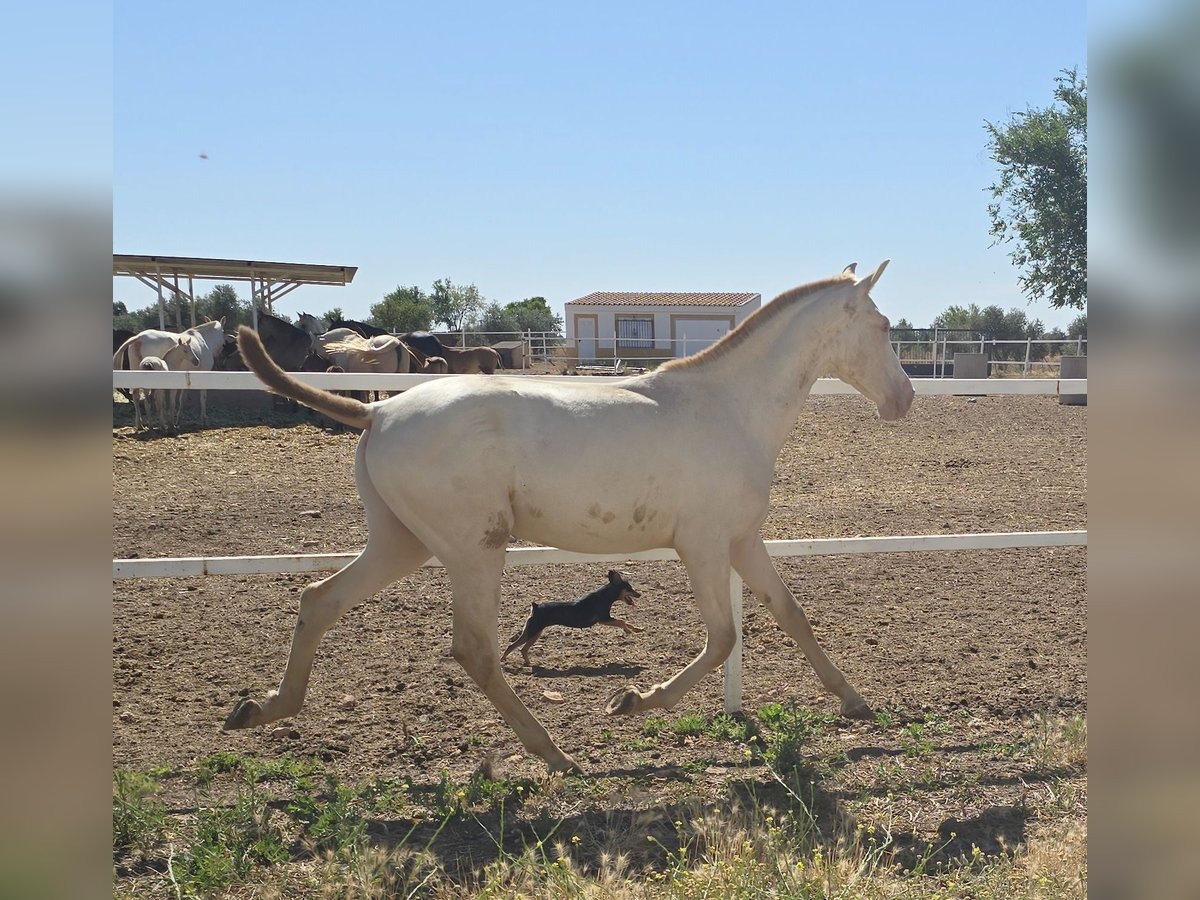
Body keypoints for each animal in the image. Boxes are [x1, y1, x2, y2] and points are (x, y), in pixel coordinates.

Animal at [501, 573, 643, 667]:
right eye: (629, 588)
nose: (640, 594)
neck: (604, 596)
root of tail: (535, 607)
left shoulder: (607, 619)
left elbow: (626, 622)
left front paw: (637, 629)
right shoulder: (604, 619)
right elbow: (621, 621)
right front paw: (628, 631)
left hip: (535, 632)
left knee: (522, 649)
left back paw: (527, 663)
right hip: (532, 631)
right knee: (513, 646)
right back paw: (505, 661)